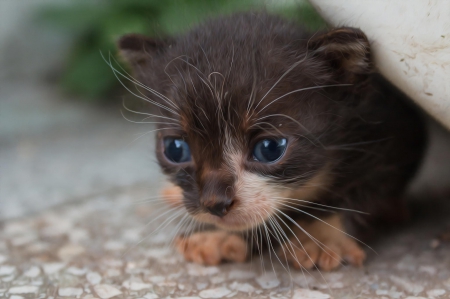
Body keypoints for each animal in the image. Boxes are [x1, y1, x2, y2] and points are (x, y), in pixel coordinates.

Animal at [116, 12, 426, 272]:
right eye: (175, 149)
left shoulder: (390, 142)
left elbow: (360, 192)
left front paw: (321, 236)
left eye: (269, 149)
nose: (214, 204)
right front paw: (219, 234)